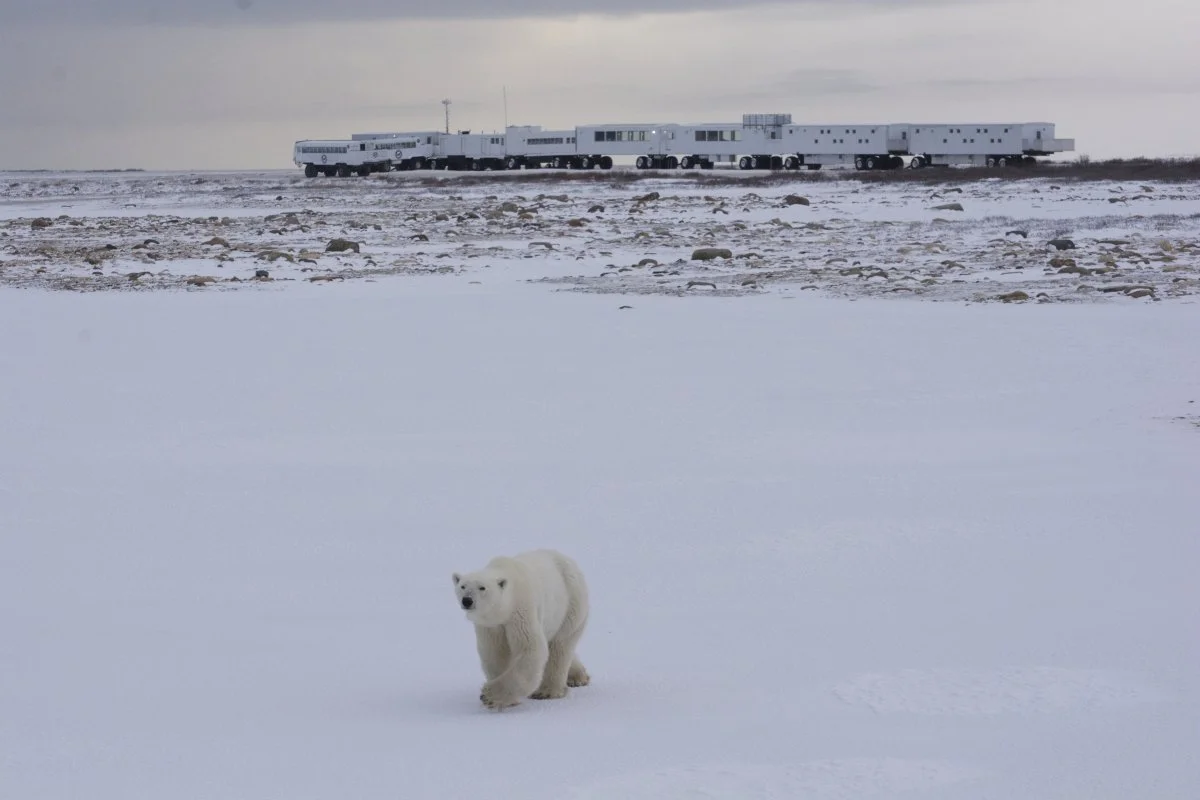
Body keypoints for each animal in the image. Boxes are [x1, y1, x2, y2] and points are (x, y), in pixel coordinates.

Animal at [451, 546, 592, 710]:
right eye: (462, 586)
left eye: (482, 587)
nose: (467, 600)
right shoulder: (491, 625)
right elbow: (494, 653)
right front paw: (507, 700)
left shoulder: (521, 610)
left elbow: (530, 648)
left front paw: (489, 696)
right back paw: (578, 676)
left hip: (571, 604)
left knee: (560, 646)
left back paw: (547, 691)